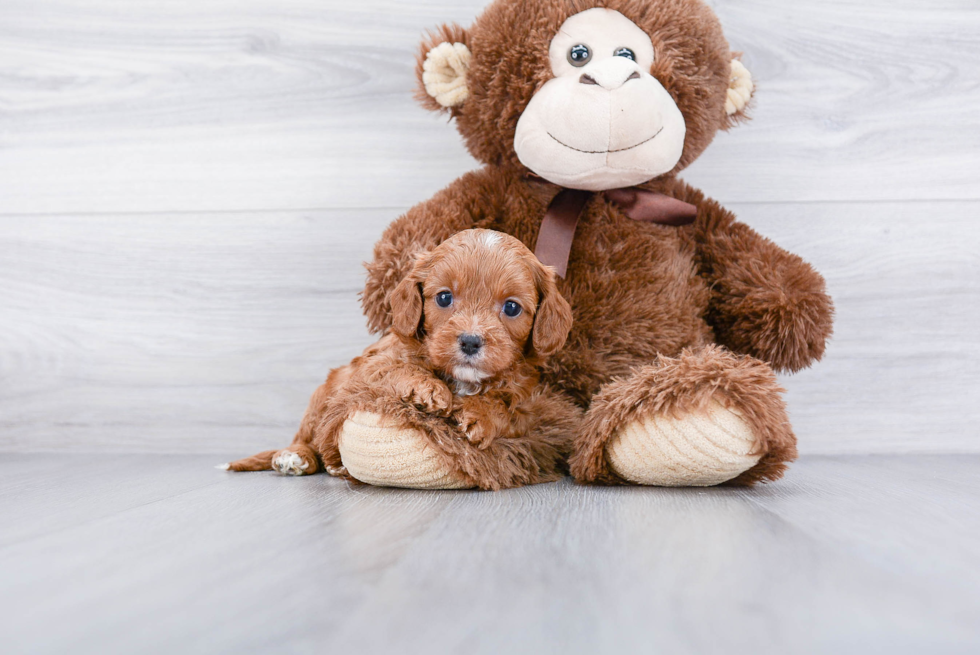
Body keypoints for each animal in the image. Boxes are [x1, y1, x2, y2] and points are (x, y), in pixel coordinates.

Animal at [228, 228, 580, 490]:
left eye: (511, 307)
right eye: (444, 297)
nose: (470, 341)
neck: (462, 381)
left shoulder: (528, 400)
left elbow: (507, 409)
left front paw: (480, 415)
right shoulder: (370, 365)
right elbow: (395, 368)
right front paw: (428, 389)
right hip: (322, 397)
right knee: (308, 436)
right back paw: (295, 457)